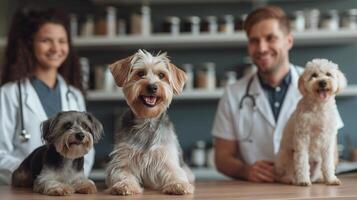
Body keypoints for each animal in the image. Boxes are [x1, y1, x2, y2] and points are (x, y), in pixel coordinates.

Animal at [276, 58, 344, 187]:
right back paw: (291, 179)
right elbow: (302, 161)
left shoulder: (328, 141)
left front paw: (331, 179)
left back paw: (318, 179)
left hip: (317, 163)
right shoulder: (302, 138)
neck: (319, 107)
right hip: (286, 156)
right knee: (287, 172)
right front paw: (303, 180)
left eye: (328, 74)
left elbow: (328, 163)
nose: (322, 82)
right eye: (314, 75)